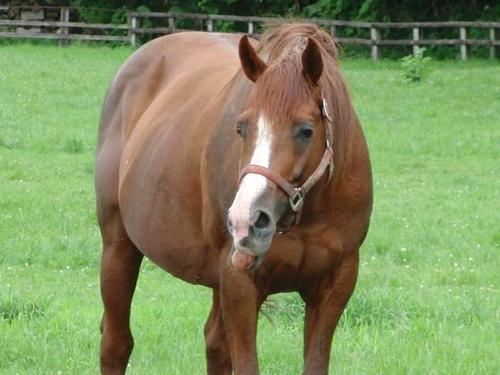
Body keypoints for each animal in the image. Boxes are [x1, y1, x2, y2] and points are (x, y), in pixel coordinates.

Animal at [95, 22, 374, 374]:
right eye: (241, 127)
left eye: (306, 130)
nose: (246, 220)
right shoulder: (239, 282)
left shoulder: (335, 283)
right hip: (118, 246)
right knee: (116, 342)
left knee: (214, 344)